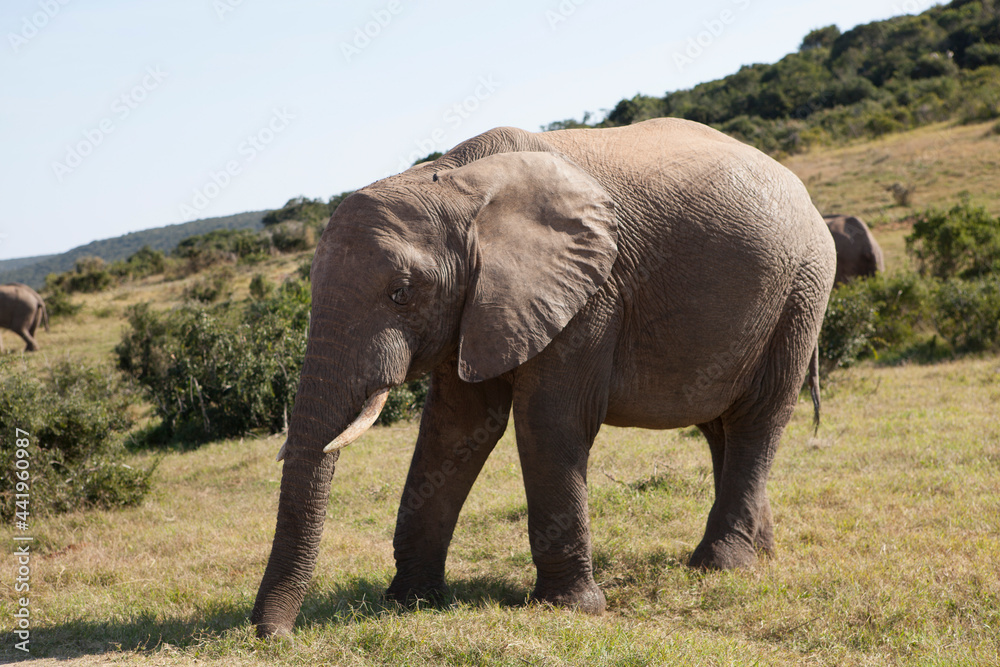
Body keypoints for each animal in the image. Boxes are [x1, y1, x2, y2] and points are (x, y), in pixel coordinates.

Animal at [250, 117, 836, 640]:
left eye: (401, 293)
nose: (271, 637)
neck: (456, 182)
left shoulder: (591, 293)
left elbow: (549, 422)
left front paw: (573, 609)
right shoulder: (480, 303)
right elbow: (455, 428)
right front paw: (410, 602)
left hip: (803, 289)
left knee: (758, 418)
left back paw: (721, 565)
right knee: (721, 427)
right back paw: (761, 553)